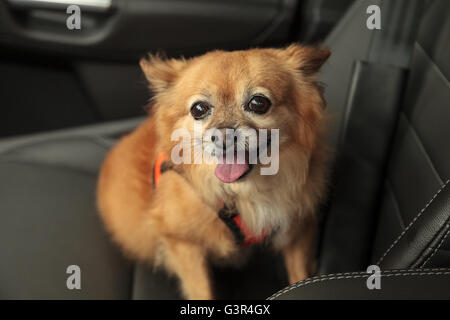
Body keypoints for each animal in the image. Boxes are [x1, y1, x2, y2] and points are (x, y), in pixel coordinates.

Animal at [96, 43, 330, 298]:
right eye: (199, 109)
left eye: (259, 103)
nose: (224, 135)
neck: (242, 193)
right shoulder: (184, 244)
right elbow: (202, 291)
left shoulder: (299, 229)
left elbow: (301, 274)